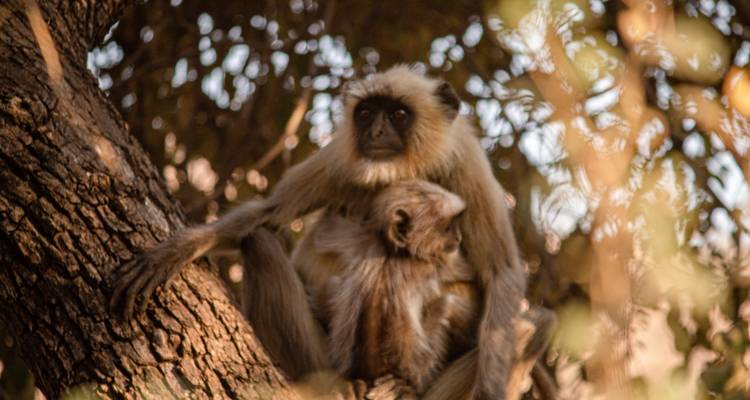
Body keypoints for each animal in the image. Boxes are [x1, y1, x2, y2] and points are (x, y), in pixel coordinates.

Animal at [312, 180, 480, 393]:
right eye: (447, 228)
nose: (458, 238)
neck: (393, 253)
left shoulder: (365, 240)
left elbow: (325, 233)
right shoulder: (434, 262)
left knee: (334, 284)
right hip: (421, 368)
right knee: (447, 305)